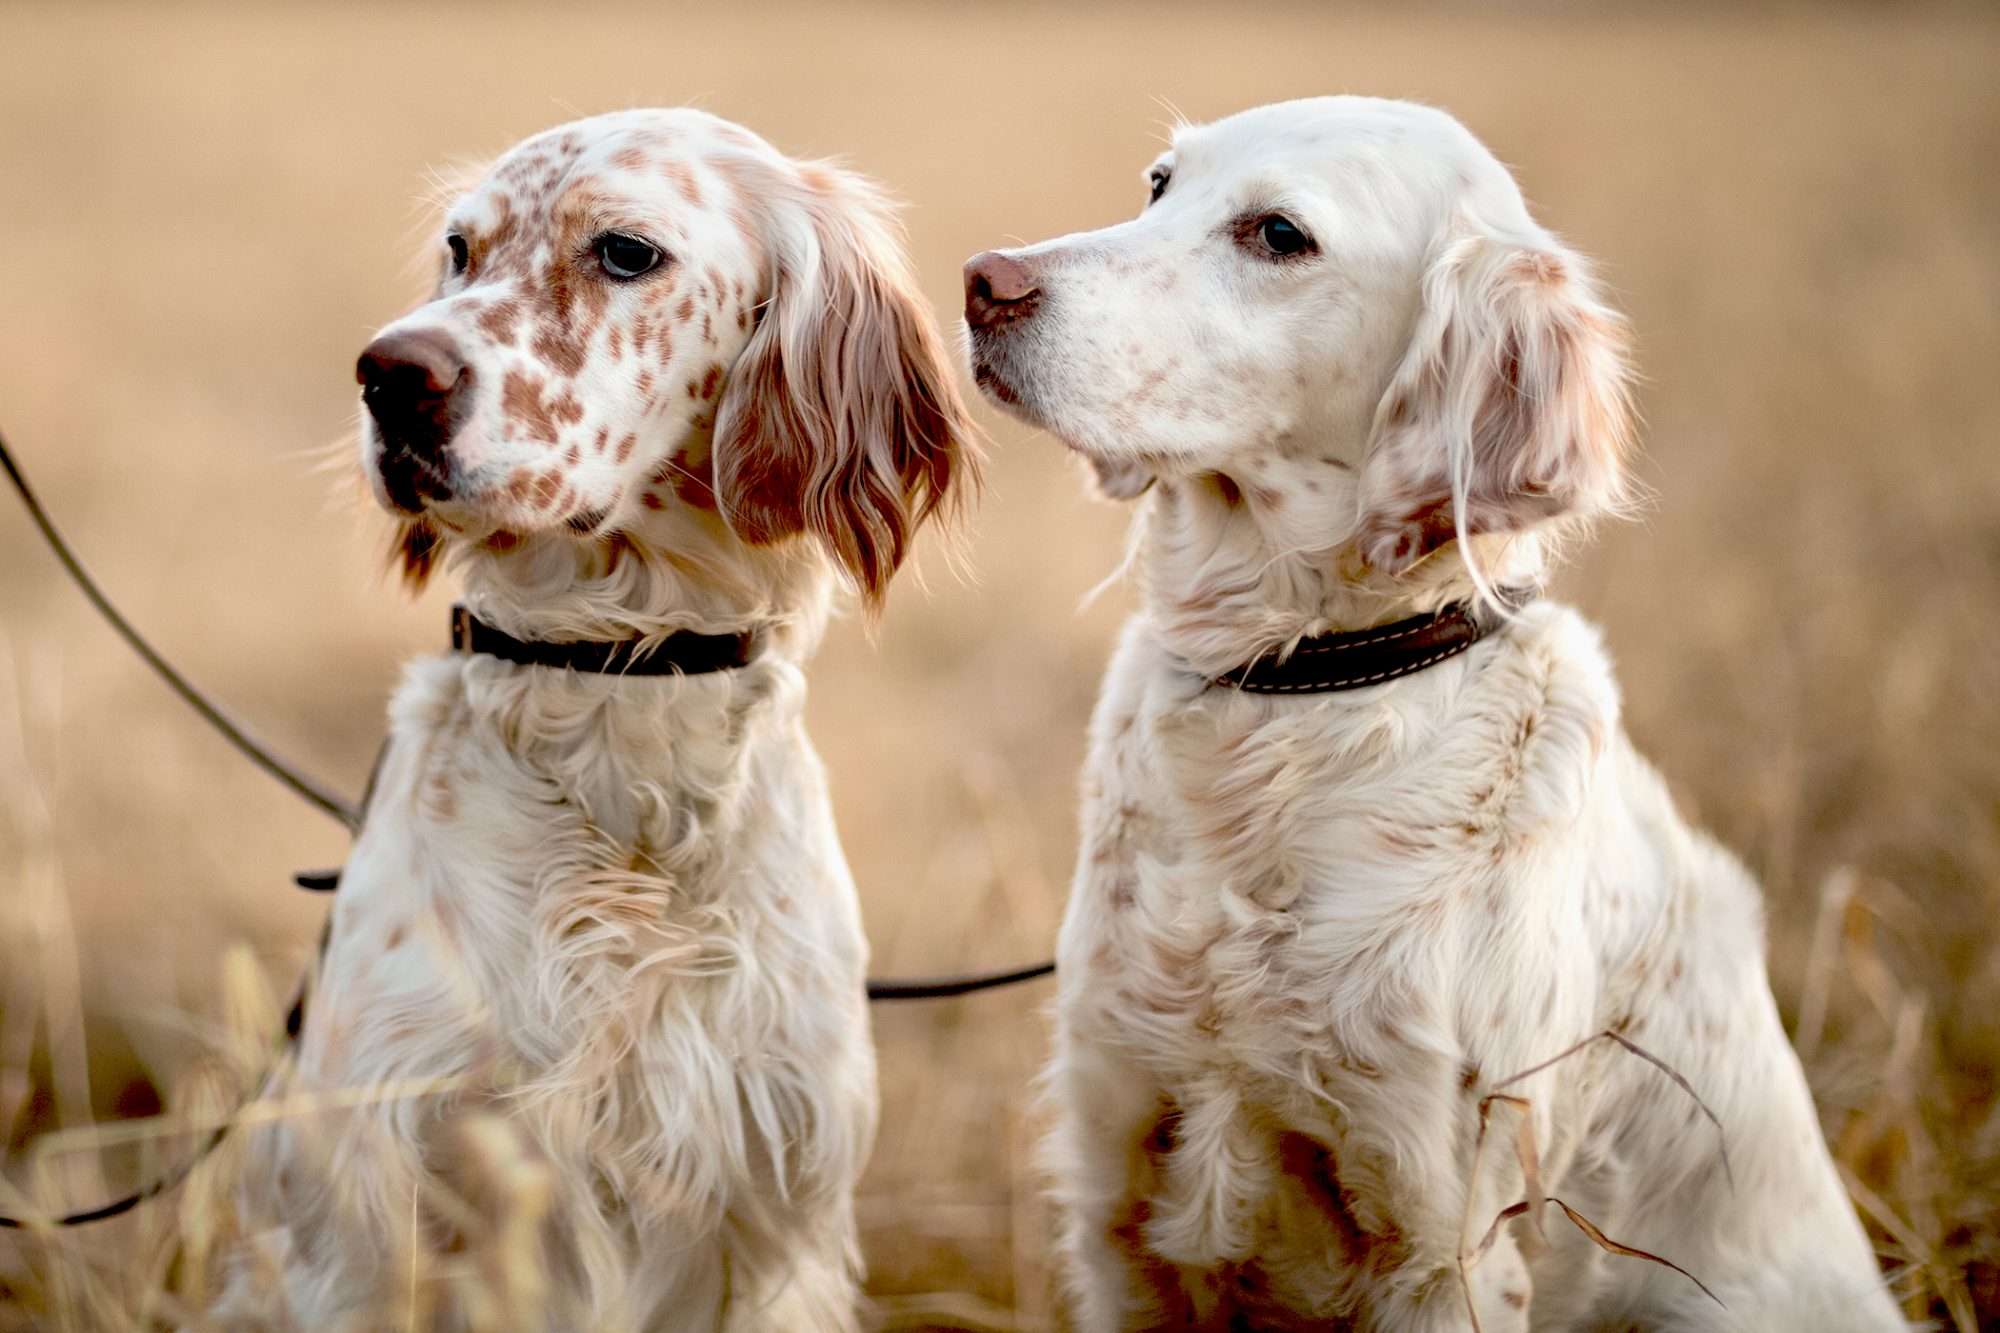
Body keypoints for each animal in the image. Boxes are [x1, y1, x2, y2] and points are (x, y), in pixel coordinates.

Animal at [968, 98, 1904, 1320]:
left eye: (1278, 235)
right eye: (1159, 184)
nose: (983, 282)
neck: (1291, 693)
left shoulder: (1445, 1237)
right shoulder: (1116, 1191)